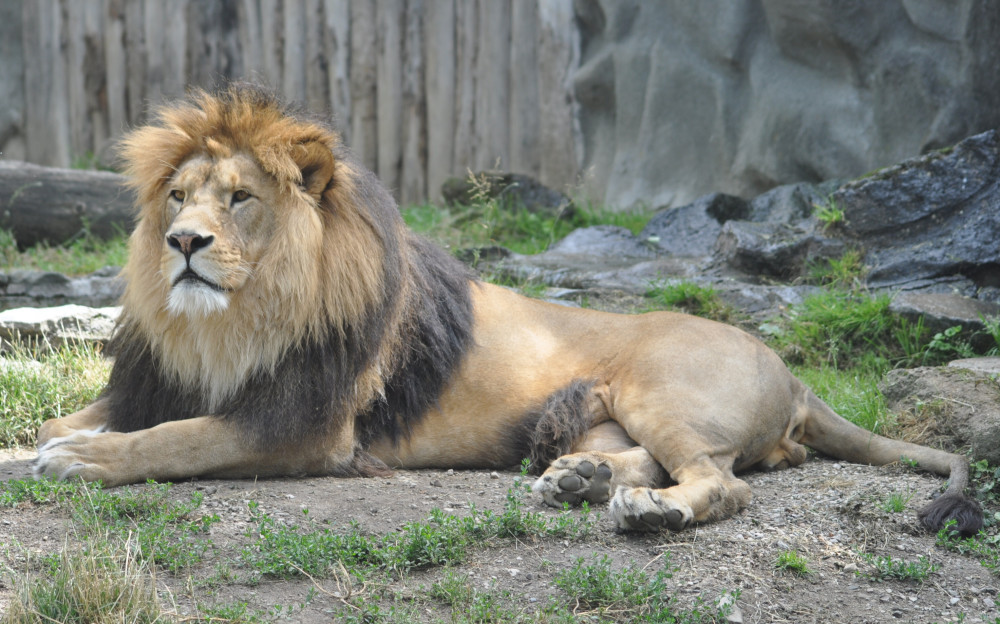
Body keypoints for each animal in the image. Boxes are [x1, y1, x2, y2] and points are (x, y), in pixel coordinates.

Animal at [33, 85, 984, 536]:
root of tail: (791, 375)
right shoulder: (159, 384)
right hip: (604, 412)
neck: (226, 323)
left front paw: (81, 460)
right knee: (660, 462)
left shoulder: (302, 427)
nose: (182, 242)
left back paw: (646, 512)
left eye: (238, 199)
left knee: (720, 483)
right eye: (178, 195)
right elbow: (73, 418)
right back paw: (579, 479)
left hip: (664, 390)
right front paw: (52, 443)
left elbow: (174, 440)